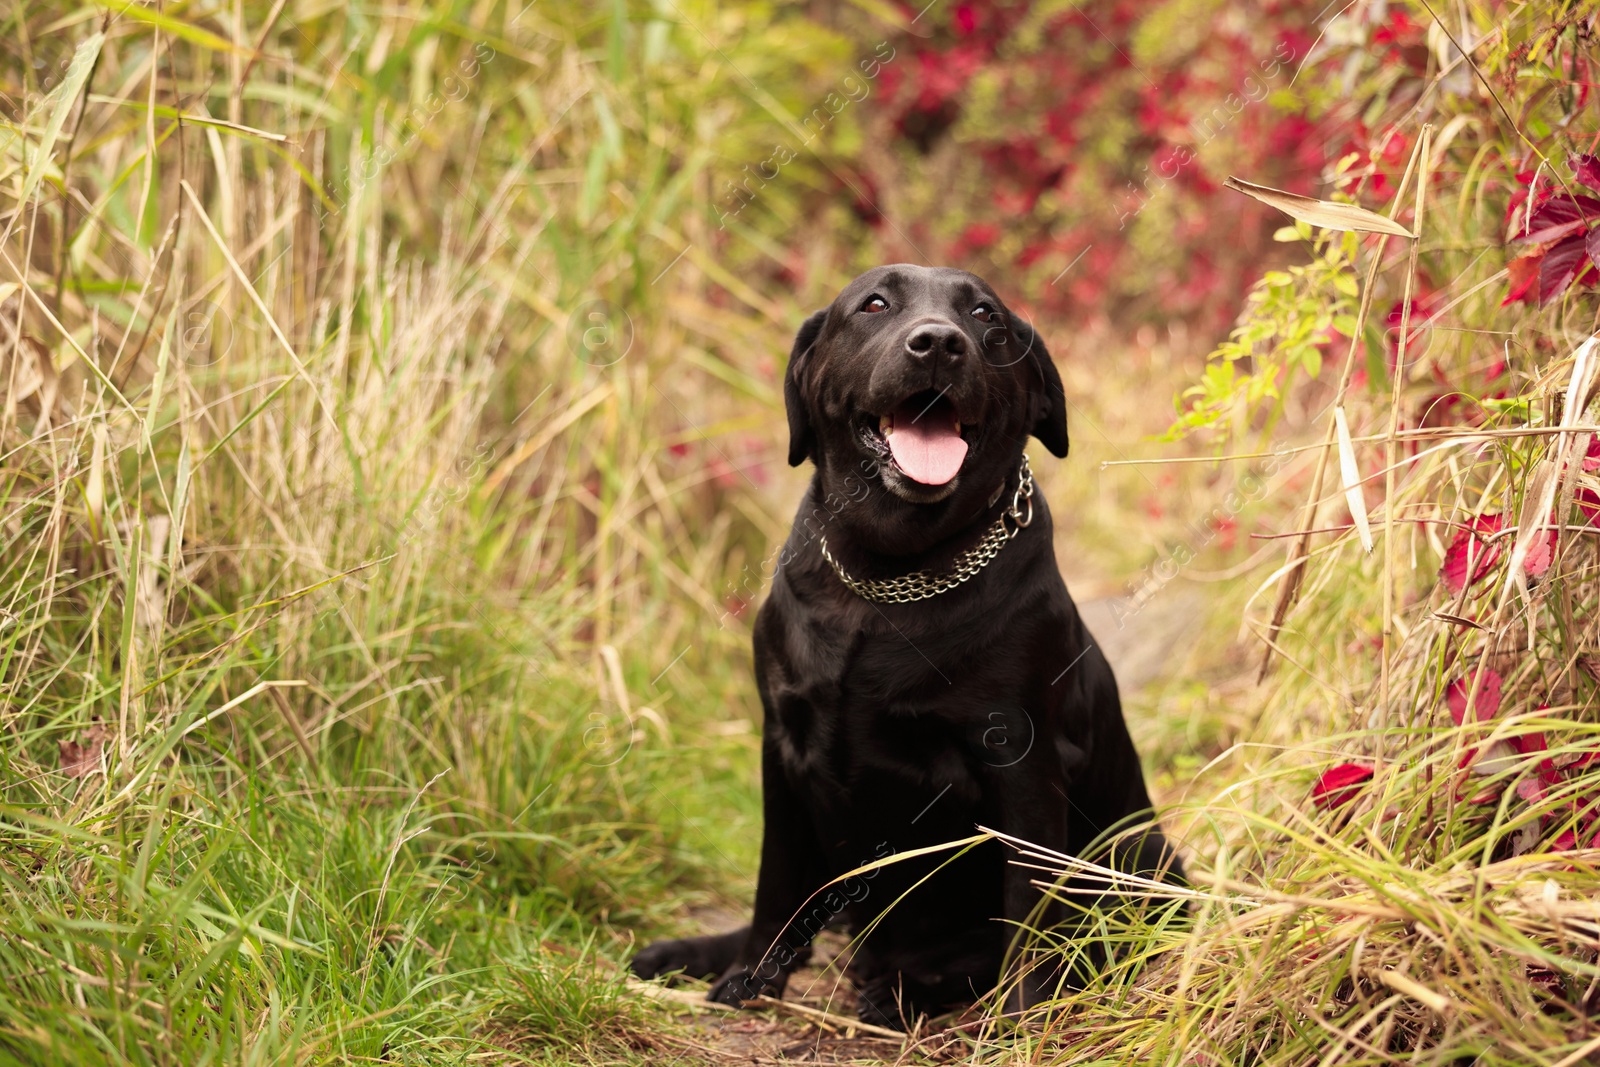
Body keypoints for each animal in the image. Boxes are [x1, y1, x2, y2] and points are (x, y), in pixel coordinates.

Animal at [633, 262, 1177, 1030]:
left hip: (1141, 848)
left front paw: (1020, 1018)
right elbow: (776, 881)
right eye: (874, 304)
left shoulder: (1022, 764)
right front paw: (750, 975)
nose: (939, 344)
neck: (885, 575)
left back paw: (904, 988)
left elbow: (1028, 911)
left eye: (986, 317)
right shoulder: (780, 743)